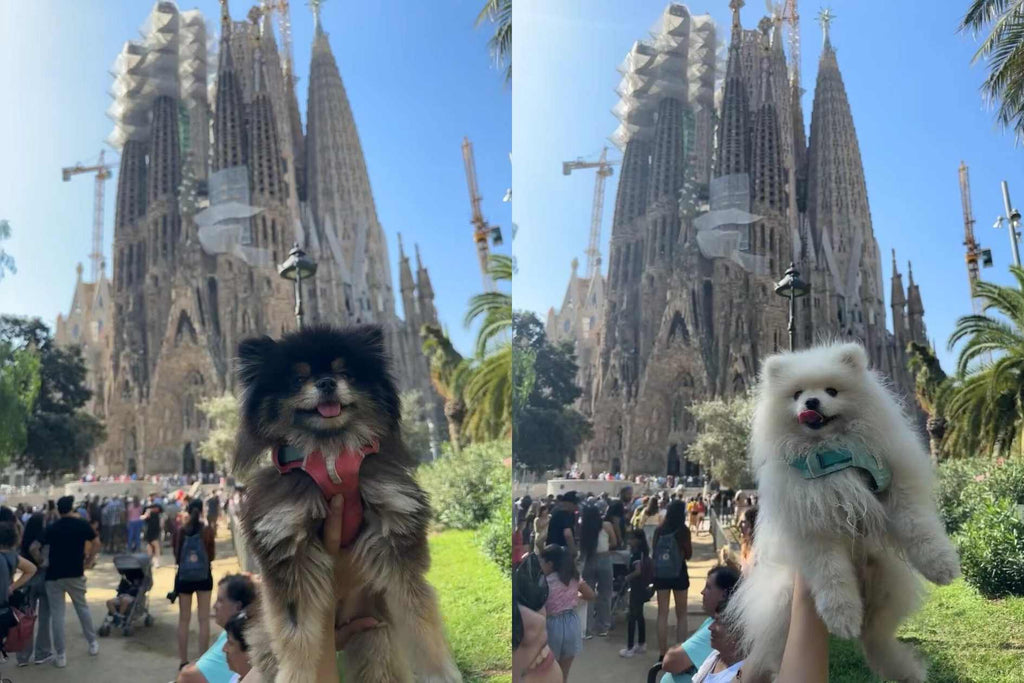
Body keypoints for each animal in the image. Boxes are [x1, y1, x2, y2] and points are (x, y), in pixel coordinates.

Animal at [234, 325, 462, 683]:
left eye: (345, 373)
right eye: (298, 379)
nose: (327, 382)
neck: (330, 456)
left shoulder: (396, 532)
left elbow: (419, 619)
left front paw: (439, 673)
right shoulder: (287, 545)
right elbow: (297, 638)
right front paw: (295, 675)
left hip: (376, 634)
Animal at [729, 344, 958, 679]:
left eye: (832, 391)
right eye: (797, 394)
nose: (811, 402)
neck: (832, 455)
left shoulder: (895, 486)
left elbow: (919, 527)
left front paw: (942, 565)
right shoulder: (814, 527)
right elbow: (832, 576)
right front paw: (842, 617)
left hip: (886, 583)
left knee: (875, 638)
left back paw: (905, 670)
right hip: (784, 601)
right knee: (778, 653)